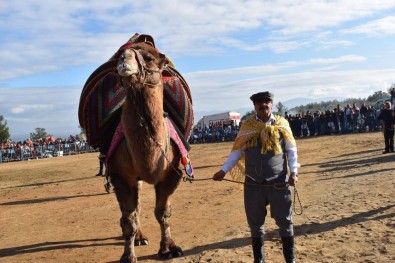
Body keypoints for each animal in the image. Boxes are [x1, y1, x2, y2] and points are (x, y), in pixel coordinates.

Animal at [106, 42, 185, 262]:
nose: (124, 59)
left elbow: (163, 213)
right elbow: (128, 219)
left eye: (149, 58)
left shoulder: (172, 173)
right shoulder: (121, 176)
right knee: (136, 208)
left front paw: (168, 248)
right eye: (119, 56)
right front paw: (128, 256)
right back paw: (140, 237)